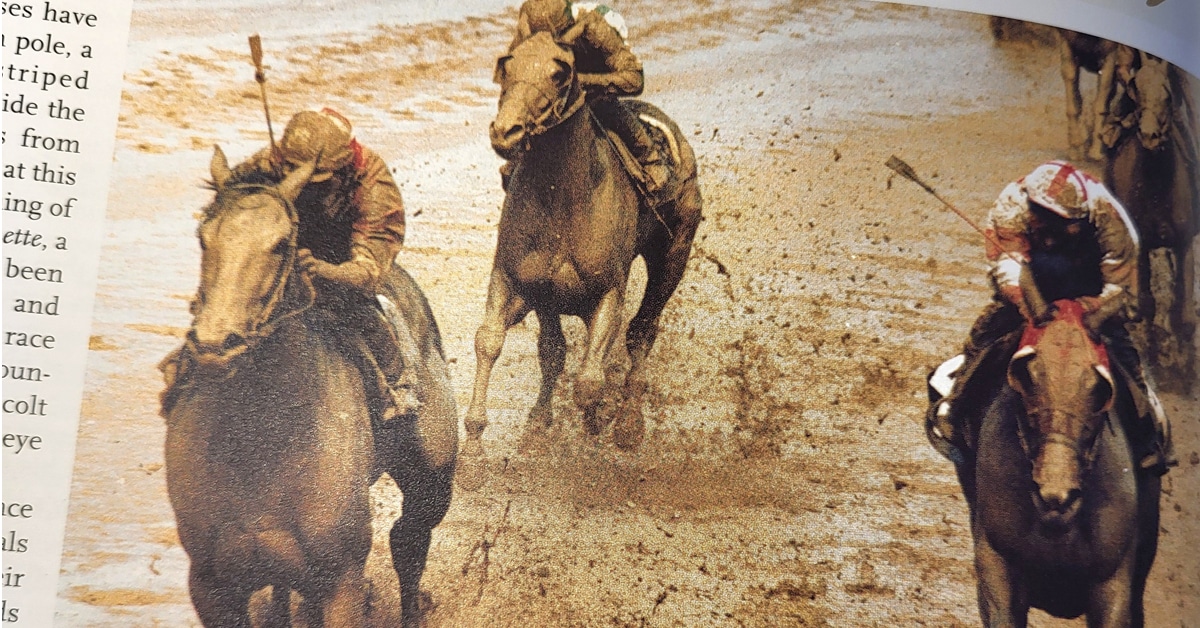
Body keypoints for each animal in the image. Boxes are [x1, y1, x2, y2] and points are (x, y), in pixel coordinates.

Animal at [162, 148, 456, 628]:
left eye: (282, 244)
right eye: (205, 238)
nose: (216, 347)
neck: (258, 443)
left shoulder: (340, 581)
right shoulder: (210, 585)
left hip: (431, 477)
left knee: (409, 539)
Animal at [458, 30, 700, 465]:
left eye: (559, 73)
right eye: (508, 65)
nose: (506, 132)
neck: (564, 200)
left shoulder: (607, 293)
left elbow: (589, 383)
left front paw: (598, 425)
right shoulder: (524, 283)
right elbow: (500, 343)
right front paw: (480, 445)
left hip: (674, 253)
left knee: (642, 330)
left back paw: (628, 424)